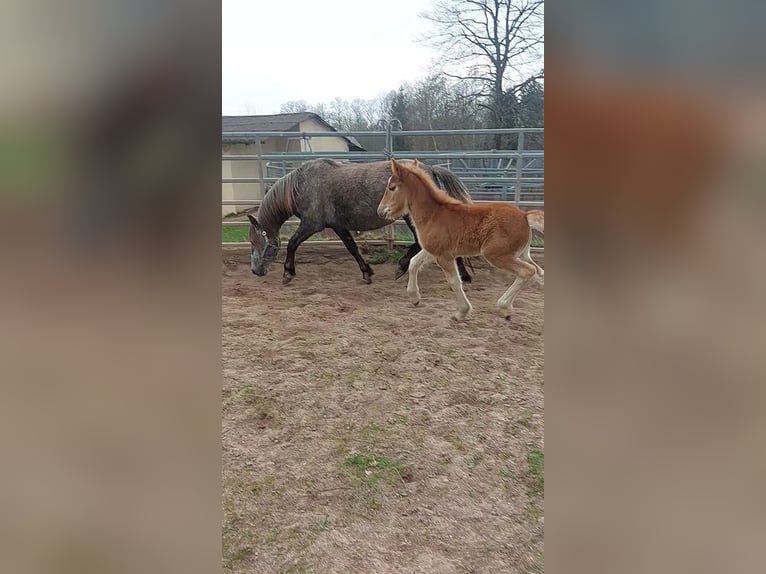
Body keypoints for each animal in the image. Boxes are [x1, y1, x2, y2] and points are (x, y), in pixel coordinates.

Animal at [249, 159, 474, 284]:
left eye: (252, 241)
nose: (255, 271)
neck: (301, 185)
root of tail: (430, 169)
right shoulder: (338, 226)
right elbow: (353, 248)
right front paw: (367, 273)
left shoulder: (311, 224)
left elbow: (292, 244)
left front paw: (288, 273)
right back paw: (462, 275)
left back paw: (403, 267)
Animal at [380, 160, 544, 322]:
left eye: (392, 187)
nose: (380, 210)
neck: (433, 214)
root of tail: (524, 215)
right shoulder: (432, 251)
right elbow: (414, 263)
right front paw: (414, 298)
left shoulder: (443, 257)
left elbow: (454, 281)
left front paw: (461, 312)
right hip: (521, 254)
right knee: (538, 271)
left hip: (497, 255)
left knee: (527, 271)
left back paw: (503, 306)